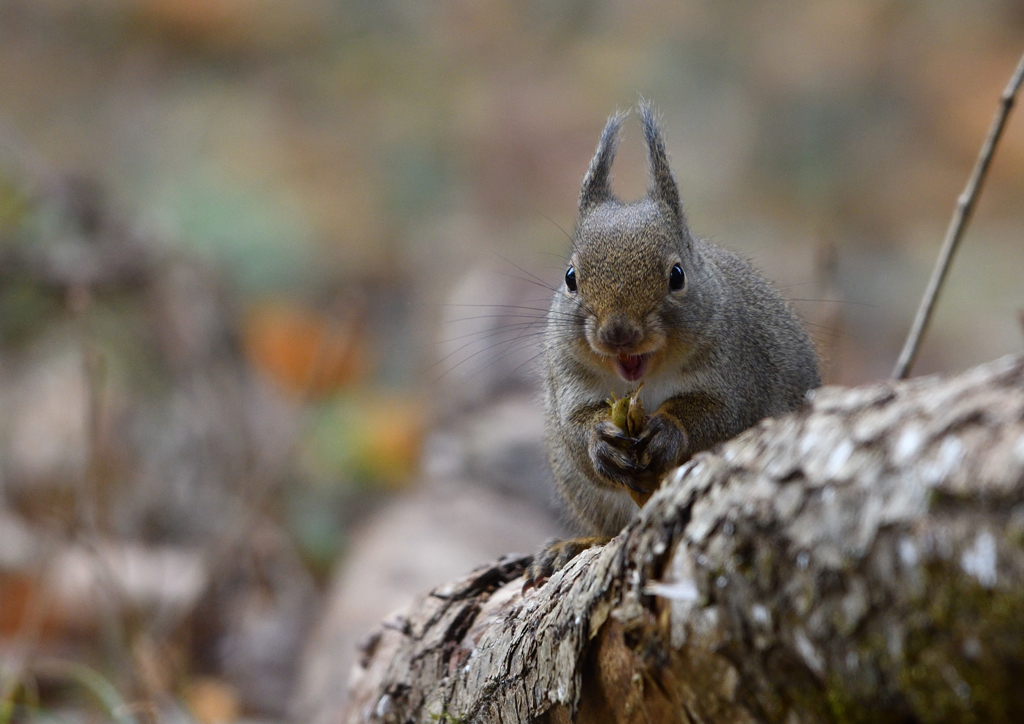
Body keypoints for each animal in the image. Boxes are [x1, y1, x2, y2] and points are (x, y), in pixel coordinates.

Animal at [524, 103, 819, 589]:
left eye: (677, 276)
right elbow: (575, 427)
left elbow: (721, 417)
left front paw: (666, 431)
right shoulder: (567, 375)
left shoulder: (740, 369)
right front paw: (600, 441)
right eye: (570, 278)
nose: (618, 333)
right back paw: (575, 544)